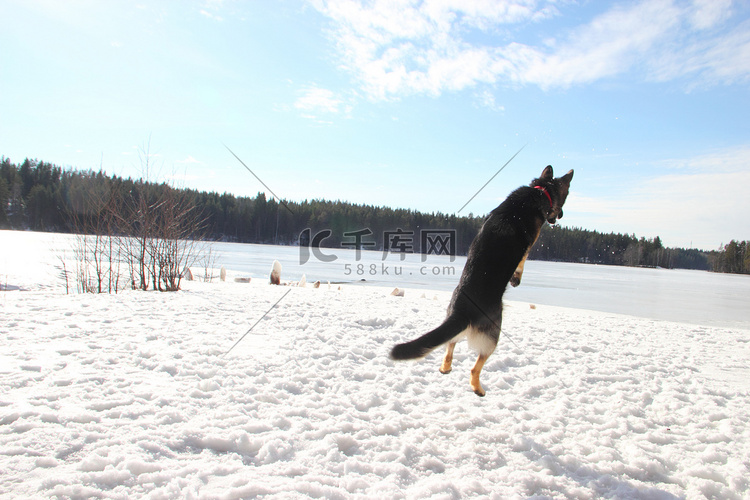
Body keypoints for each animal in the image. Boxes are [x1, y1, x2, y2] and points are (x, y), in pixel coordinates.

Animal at [394, 166, 576, 396]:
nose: (561, 215)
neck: (540, 190)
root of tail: (463, 312)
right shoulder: (529, 245)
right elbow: (522, 263)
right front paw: (517, 278)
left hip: (454, 326)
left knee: (449, 347)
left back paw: (446, 368)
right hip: (494, 335)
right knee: (474, 367)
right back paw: (477, 388)